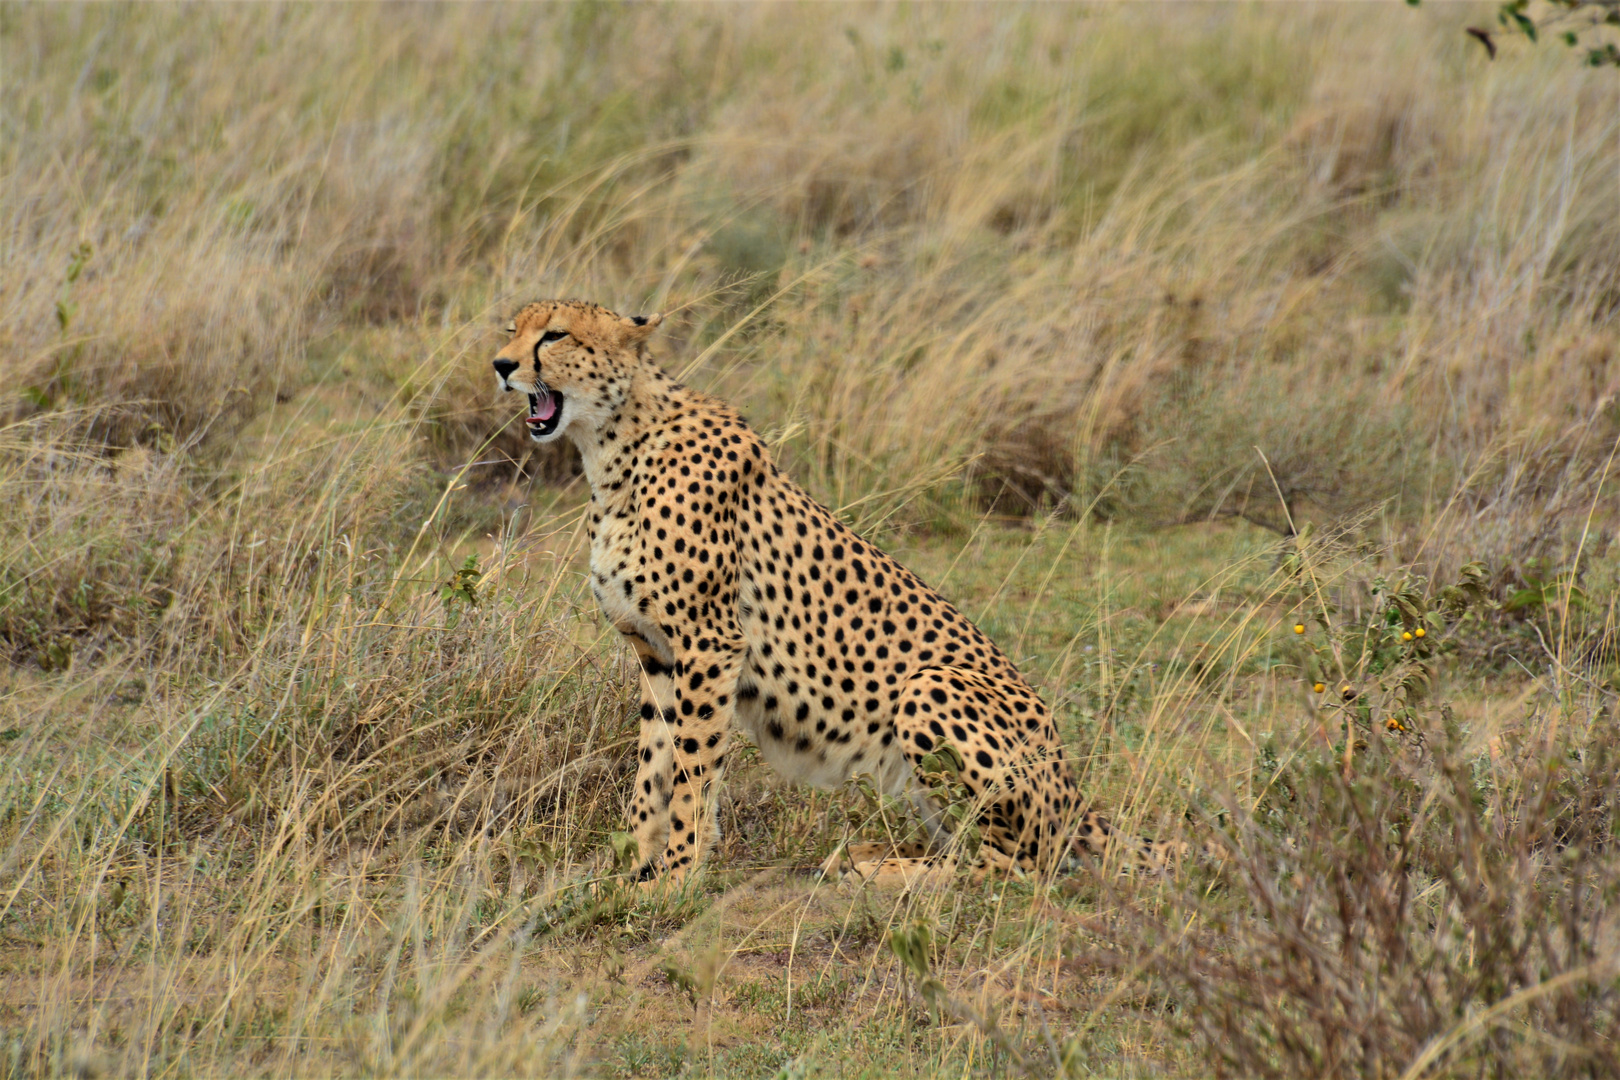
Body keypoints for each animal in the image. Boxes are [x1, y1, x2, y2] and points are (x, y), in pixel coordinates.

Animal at [486, 297, 1172, 887]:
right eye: (512, 330)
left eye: (555, 335)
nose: (501, 366)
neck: (612, 446)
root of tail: (1076, 790)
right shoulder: (655, 650)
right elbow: (653, 763)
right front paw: (632, 865)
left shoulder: (710, 643)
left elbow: (691, 769)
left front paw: (677, 874)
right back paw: (871, 857)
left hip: (931, 687)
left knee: (1016, 868)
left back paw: (881, 874)